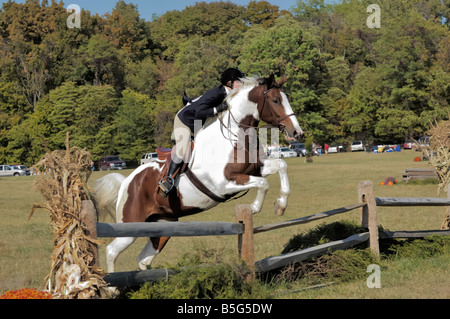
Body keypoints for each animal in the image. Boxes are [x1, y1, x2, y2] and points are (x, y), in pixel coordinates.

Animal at [93, 74, 304, 272]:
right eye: (275, 100)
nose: (297, 133)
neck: (235, 135)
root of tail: (127, 181)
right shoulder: (224, 184)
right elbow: (263, 183)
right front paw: (254, 208)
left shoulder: (256, 168)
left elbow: (281, 165)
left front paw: (280, 205)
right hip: (130, 226)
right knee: (112, 251)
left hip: (163, 225)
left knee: (143, 258)